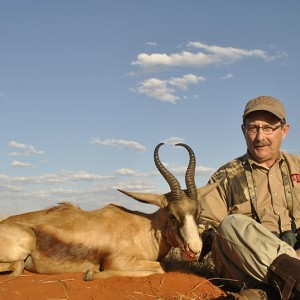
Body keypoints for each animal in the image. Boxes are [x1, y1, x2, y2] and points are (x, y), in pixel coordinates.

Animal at [0, 143, 216, 278]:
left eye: (199, 213)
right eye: (172, 215)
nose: (194, 249)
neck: (143, 229)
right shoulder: (117, 261)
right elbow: (159, 268)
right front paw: (90, 274)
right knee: (17, 266)